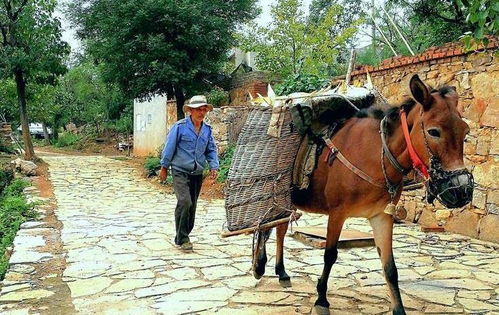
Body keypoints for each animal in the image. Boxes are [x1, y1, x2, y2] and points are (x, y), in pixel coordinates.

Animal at [256, 75, 474, 314]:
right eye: (434, 131)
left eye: (465, 132)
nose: (462, 190)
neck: (374, 155)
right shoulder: (337, 214)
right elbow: (330, 255)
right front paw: (321, 298)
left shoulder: (382, 216)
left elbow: (390, 267)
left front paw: (399, 309)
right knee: (269, 228)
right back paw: (260, 265)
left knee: (279, 230)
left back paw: (281, 271)